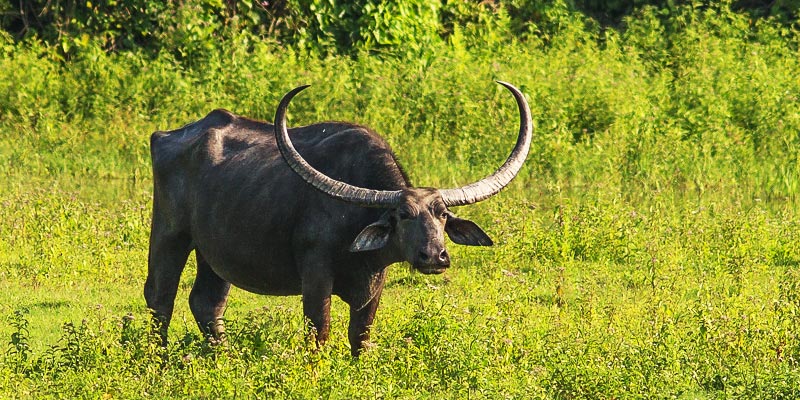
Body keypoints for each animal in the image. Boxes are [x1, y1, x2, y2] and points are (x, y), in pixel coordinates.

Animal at [145, 79, 532, 354]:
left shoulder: (375, 283)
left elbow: (360, 336)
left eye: (442, 215)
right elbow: (319, 333)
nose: (434, 256)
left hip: (214, 253)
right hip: (170, 233)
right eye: (403, 214)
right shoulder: (316, 275)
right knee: (160, 298)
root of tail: (168, 135)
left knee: (207, 303)